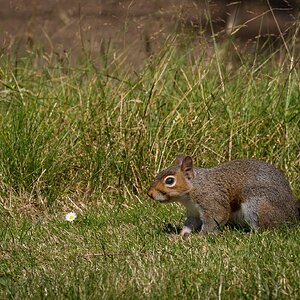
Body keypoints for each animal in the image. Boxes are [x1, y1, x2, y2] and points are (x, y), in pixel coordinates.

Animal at [146, 155, 298, 237]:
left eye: (169, 181)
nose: (150, 193)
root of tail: (292, 214)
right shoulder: (193, 212)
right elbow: (190, 224)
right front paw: (181, 235)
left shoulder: (211, 200)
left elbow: (216, 217)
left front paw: (199, 237)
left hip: (258, 204)